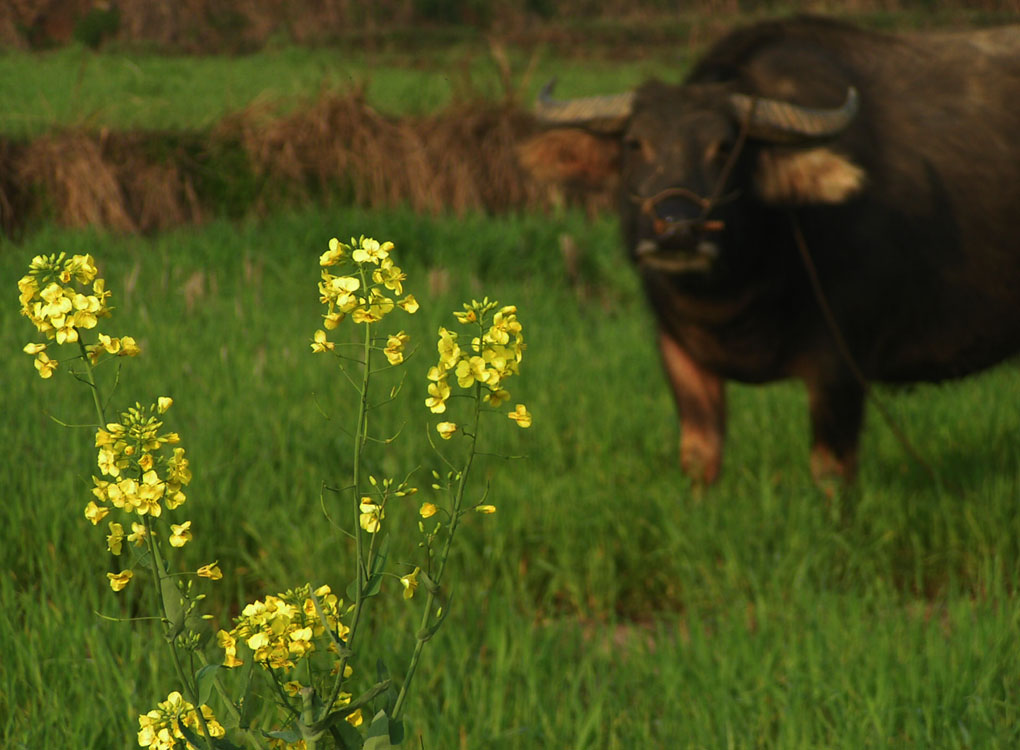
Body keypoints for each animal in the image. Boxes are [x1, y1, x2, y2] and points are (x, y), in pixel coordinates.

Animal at [522, 19, 1020, 487]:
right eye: (634, 144)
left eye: (725, 147)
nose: (678, 233)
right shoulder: (679, 354)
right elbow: (700, 459)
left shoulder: (842, 364)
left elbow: (832, 470)